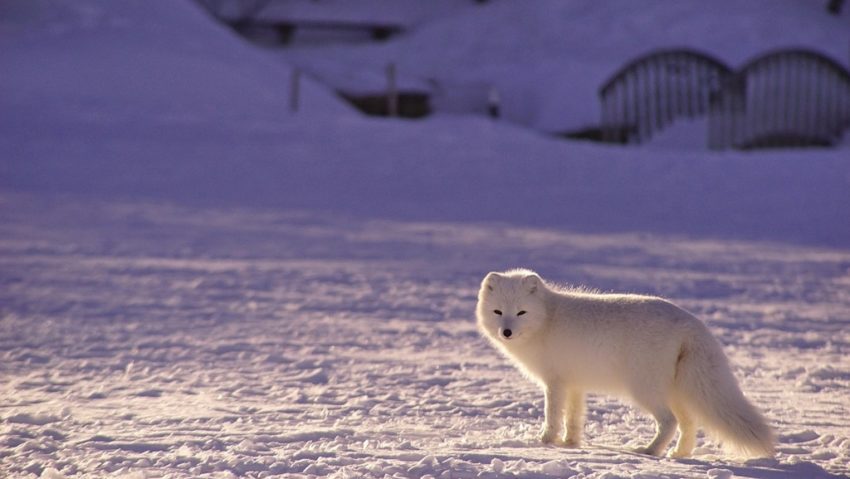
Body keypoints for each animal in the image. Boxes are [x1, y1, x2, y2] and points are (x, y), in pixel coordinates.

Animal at [476, 268, 776, 460]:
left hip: (644, 389)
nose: (506, 332)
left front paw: (545, 442)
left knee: (669, 421)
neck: (547, 319)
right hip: (676, 390)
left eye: (521, 312)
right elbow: (574, 418)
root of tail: (692, 323)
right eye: (498, 312)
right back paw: (680, 454)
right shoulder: (575, 384)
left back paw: (650, 451)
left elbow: (552, 416)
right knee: (689, 423)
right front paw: (571, 444)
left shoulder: (555, 382)